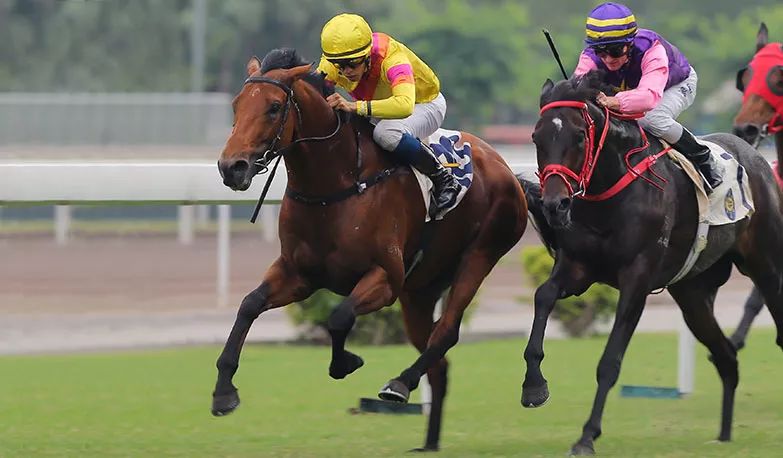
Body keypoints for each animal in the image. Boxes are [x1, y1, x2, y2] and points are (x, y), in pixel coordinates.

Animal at [210, 48, 528, 450]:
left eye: (273, 106)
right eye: (236, 104)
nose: (231, 167)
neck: (336, 184)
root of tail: (506, 168)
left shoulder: (385, 278)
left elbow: (339, 317)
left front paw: (345, 362)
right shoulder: (298, 274)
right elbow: (249, 305)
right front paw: (223, 392)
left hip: (479, 256)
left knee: (446, 332)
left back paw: (399, 384)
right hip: (420, 291)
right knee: (439, 362)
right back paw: (428, 443)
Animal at [520, 71, 783, 454]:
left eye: (579, 136)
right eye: (537, 138)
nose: (555, 205)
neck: (609, 195)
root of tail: (757, 157)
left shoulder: (636, 280)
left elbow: (609, 362)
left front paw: (587, 436)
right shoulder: (578, 269)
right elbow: (543, 295)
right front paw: (534, 386)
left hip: (766, 267)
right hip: (692, 294)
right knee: (726, 358)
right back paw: (723, 434)